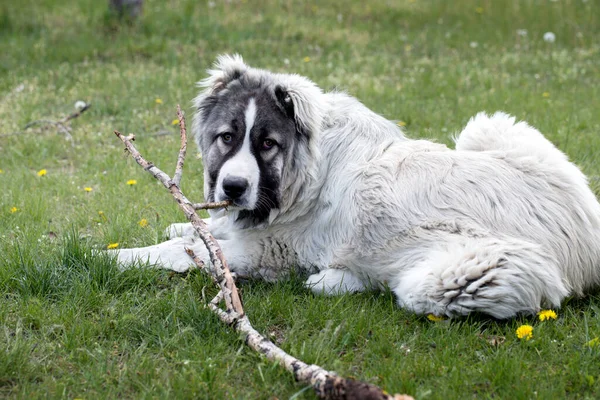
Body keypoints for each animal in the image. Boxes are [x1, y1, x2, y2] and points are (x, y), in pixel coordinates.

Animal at [116, 55, 600, 318]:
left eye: (268, 144)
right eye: (227, 137)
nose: (233, 187)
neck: (307, 169)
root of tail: (587, 233)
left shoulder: (268, 251)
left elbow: (179, 252)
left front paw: (118, 256)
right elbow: (200, 233)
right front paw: (185, 226)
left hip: (466, 272)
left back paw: (332, 279)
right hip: (486, 128)